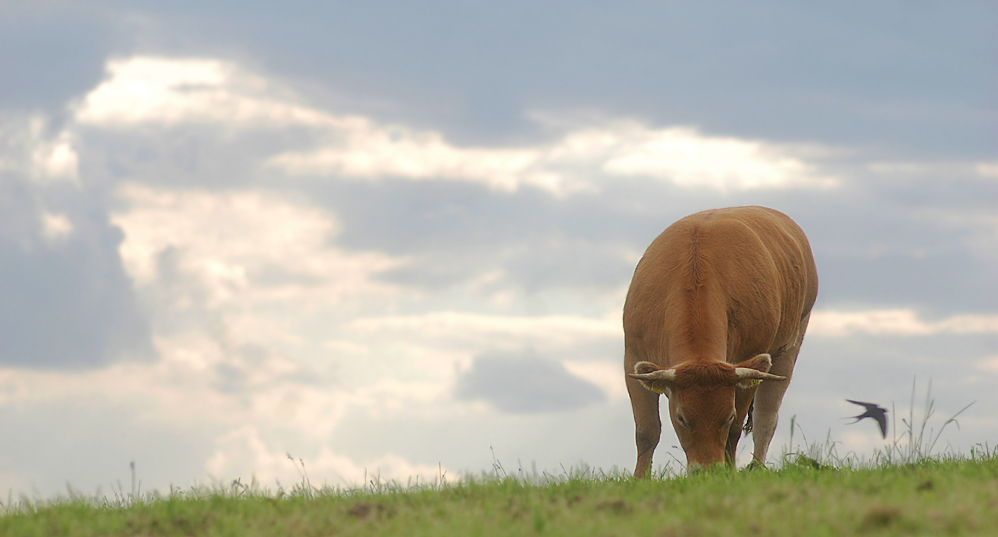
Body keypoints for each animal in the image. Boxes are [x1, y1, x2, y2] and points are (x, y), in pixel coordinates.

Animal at [624, 205, 820, 474]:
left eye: (727, 416)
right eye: (682, 418)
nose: (707, 470)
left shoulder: (750, 361)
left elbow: (735, 431)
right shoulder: (633, 355)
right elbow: (646, 431)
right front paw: (640, 477)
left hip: (790, 345)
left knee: (766, 417)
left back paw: (756, 466)